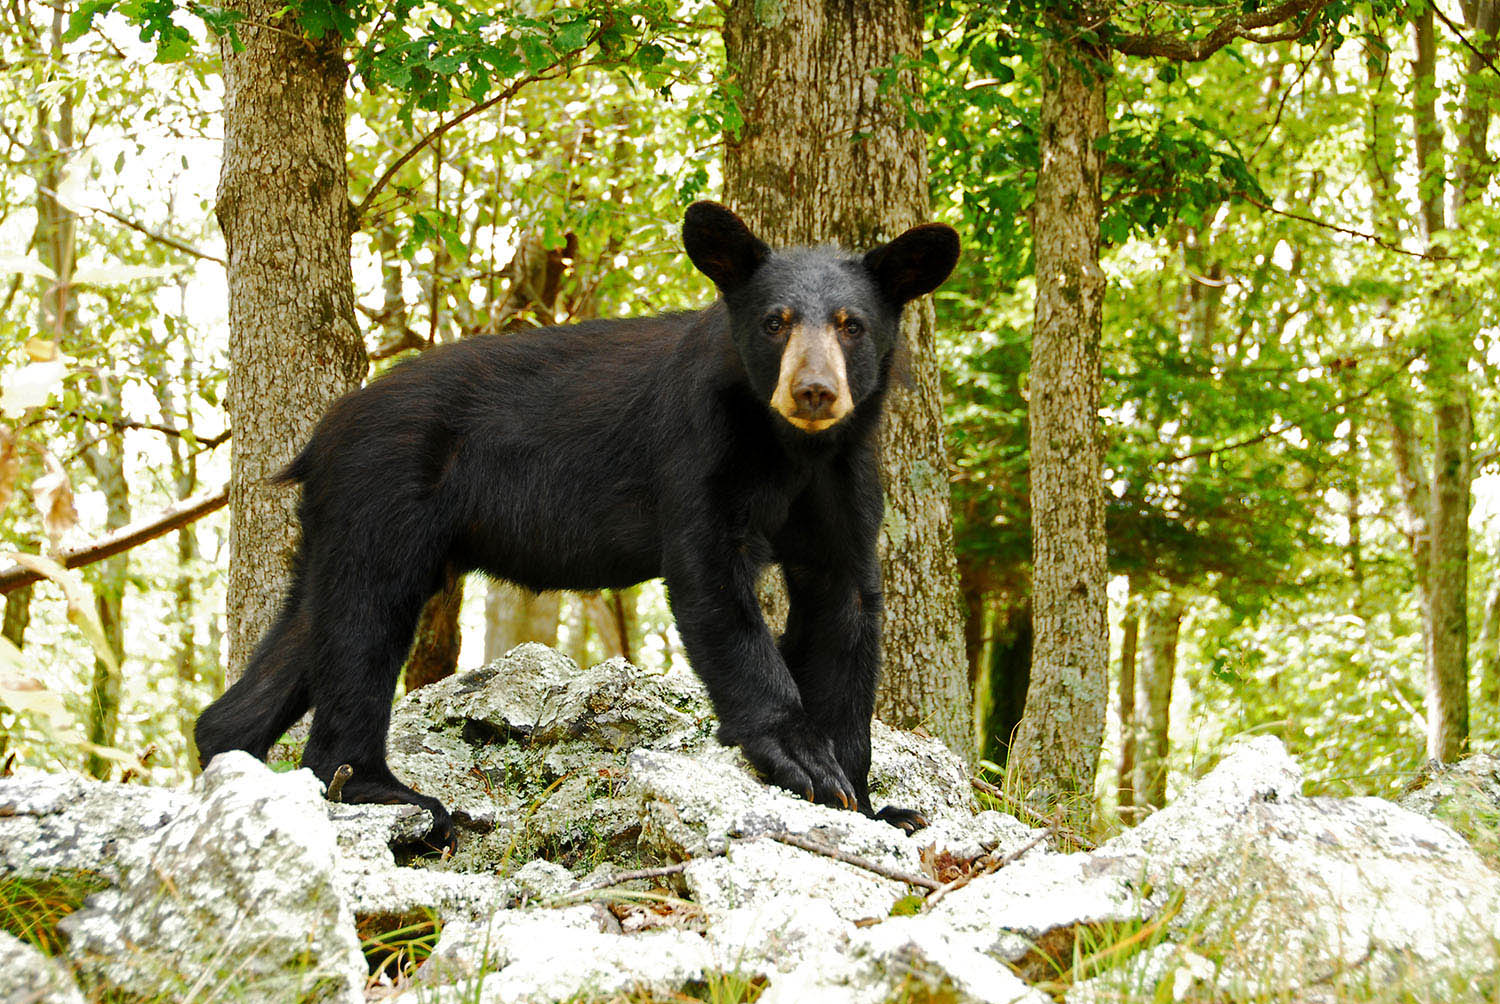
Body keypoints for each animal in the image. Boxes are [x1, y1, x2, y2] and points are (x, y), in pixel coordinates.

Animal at [196, 199, 960, 840]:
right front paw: (800, 754)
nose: (814, 391)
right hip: (386, 490)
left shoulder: (843, 479)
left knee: (309, 624)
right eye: (775, 321)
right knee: (364, 617)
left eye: (851, 325)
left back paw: (229, 746)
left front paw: (871, 802)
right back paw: (384, 791)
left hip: (344, 518)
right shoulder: (700, 446)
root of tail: (323, 436)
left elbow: (845, 603)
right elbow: (712, 579)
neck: (791, 447)